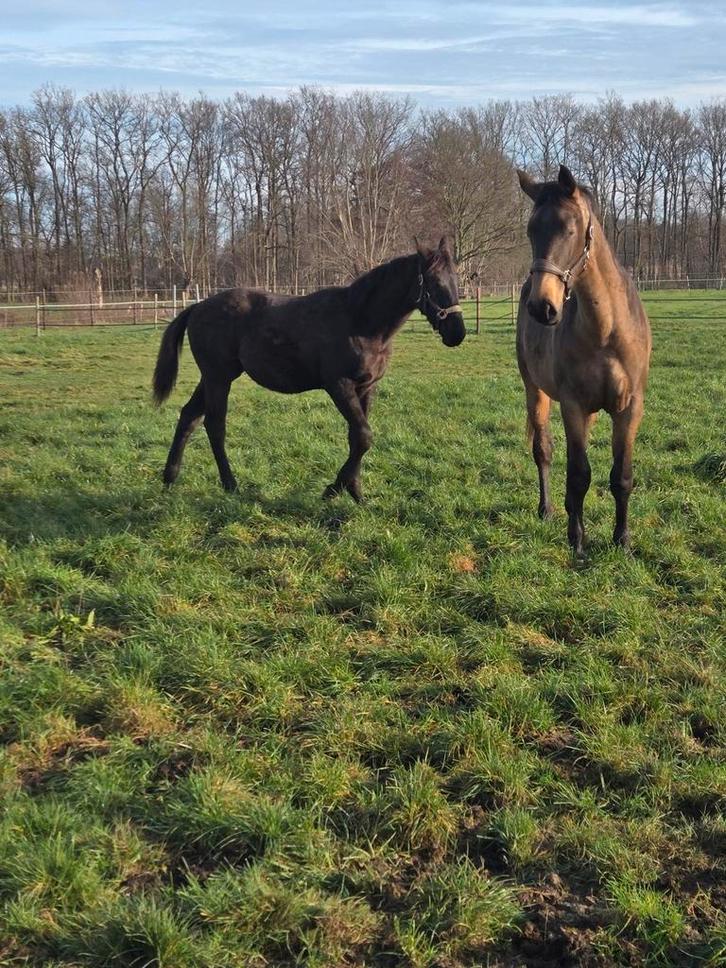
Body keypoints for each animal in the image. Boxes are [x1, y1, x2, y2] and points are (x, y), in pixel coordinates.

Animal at [152, 239, 465, 501]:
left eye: (456, 279)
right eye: (434, 282)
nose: (457, 333)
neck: (360, 322)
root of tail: (197, 307)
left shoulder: (367, 386)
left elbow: (357, 438)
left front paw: (355, 492)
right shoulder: (338, 385)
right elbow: (364, 436)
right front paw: (334, 490)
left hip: (212, 377)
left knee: (189, 416)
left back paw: (170, 478)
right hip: (219, 377)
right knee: (214, 425)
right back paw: (230, 484)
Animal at [516, 165, 652, 554]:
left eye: (569, 228)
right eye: (531, 230)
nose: (542, 307)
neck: (606, 331)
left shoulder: (629, 408)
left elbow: (621, 476)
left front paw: (622, 540)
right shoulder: (572, 405)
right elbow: (579, 475)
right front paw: (577, 541)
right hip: (535, 391)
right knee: (543, 450)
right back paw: (547, 509)